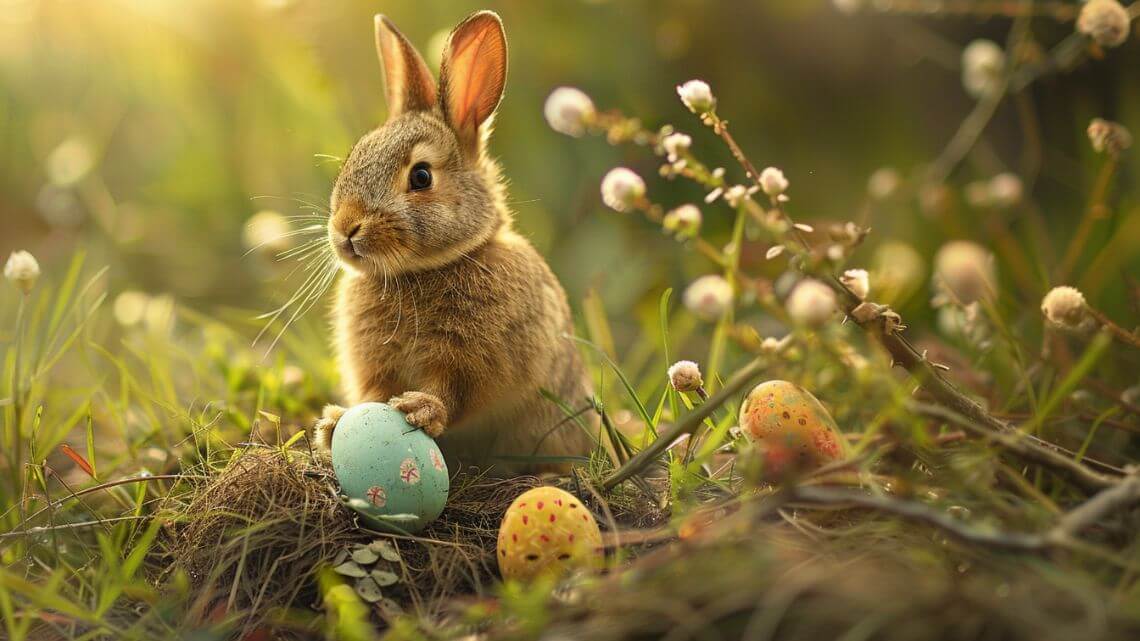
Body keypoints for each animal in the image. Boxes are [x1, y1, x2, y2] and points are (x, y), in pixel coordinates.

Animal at [310, 11, 597, 474]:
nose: (346, 229)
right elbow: (373, 394)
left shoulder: (475, 361)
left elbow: (456, 392)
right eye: (354, 158)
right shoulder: (374, 364)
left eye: (421, 176)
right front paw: (335, 424)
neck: (421, 271)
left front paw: (422, 408)